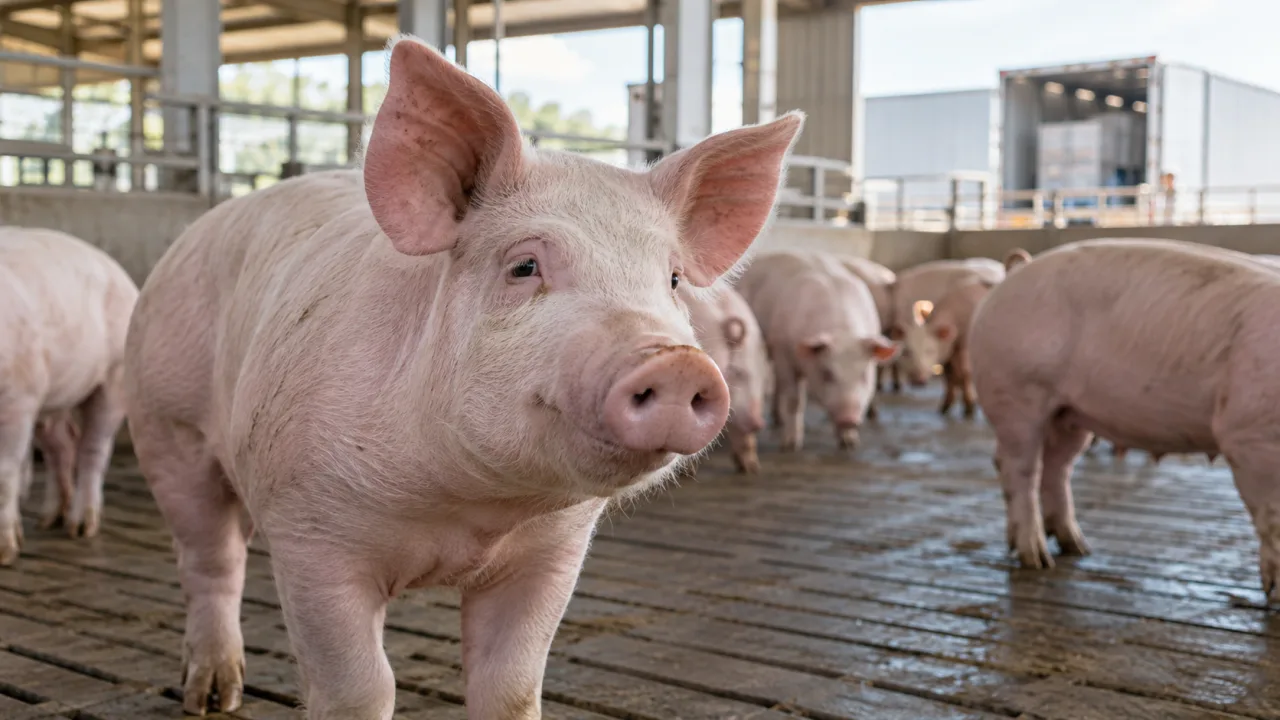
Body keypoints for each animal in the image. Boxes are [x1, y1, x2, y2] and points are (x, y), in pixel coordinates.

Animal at [0, 228, 138, 564]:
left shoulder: (19, 400)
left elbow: (5, 475)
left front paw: (6, 554)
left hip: (115, 378)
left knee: (93, 448)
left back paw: (80, 528)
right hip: (53, 396)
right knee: (63, 442)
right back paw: (49, 520)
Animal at [736, 251, 899, 452]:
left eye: (864, 375)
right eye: (827, 373)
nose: (849, 418)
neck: (842, 331)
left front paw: (849, 443)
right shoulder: (783, 350)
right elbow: (794, 400)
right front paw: (790, 445)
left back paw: (778, 419)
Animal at [899, 276, 996, 417]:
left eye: (930, 350)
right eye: (906, 351)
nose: (918, 380)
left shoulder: (965, 347)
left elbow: (966, 373)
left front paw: (969, 412)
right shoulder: (948, 354)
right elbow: (948, 375)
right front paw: (943, 409)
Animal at [969, 237, 1280, 602]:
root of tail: (1014, 273)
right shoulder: (1249, 435)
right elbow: (1273, 518)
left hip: (1068, 414)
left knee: (1056, 468)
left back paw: (1077, 547)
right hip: (1017, 393)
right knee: (1018, 468)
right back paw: (1037, 559)